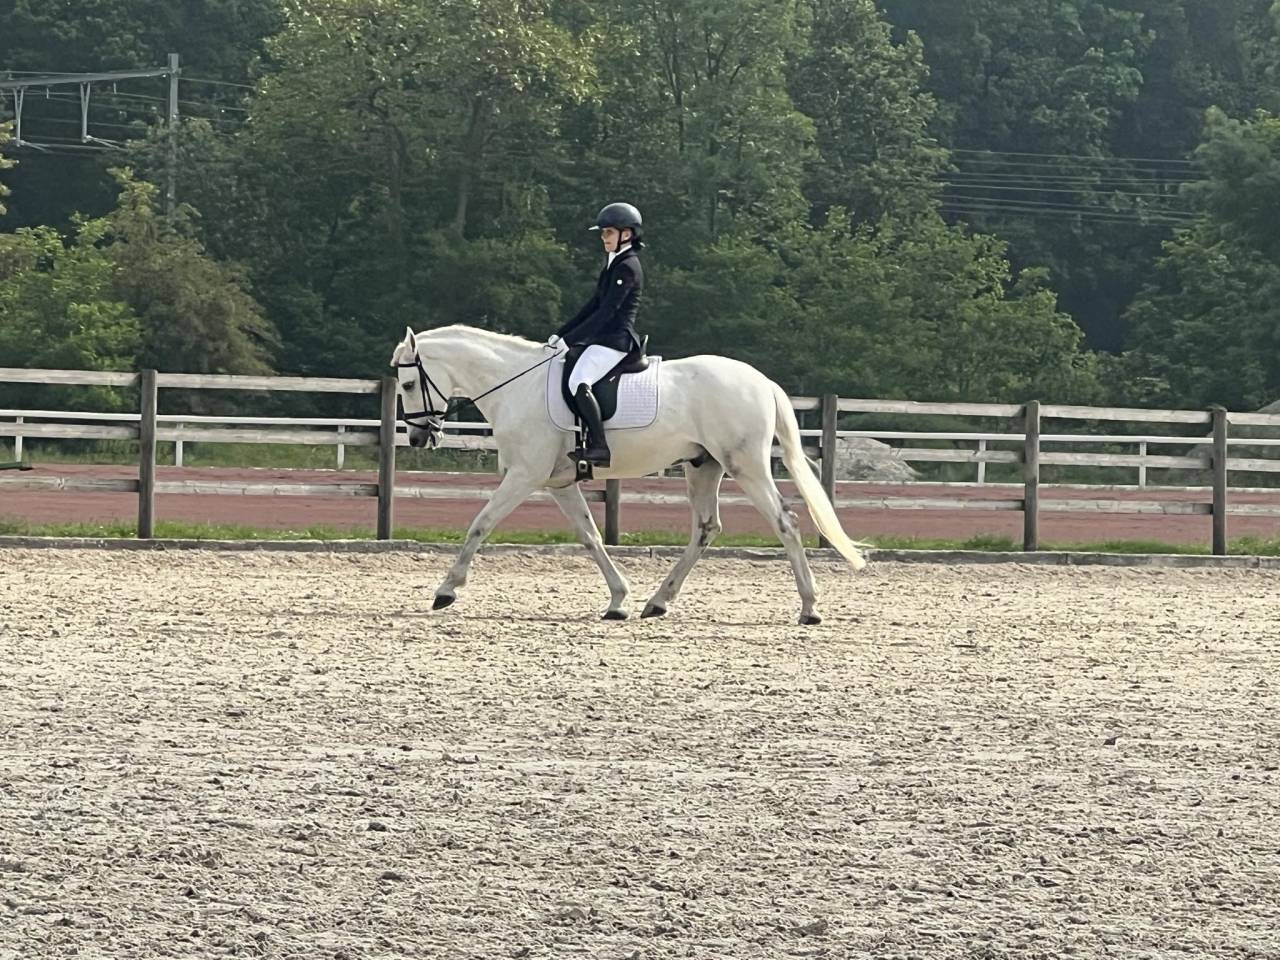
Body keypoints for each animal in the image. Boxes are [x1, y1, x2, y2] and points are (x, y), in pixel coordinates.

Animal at [391, 325, 867, 623]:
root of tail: (761, 381)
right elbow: (590, 536)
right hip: (703, 466)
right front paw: (618, 600)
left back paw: (809, 608)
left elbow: (480, 523)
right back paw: (658, 602)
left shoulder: (524, 475)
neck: (515, 386)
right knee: (706, 527)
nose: (418, 437)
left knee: (785, 522)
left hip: (744, 465)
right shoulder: (557, 483)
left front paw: (447, 590)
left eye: (409, 385)